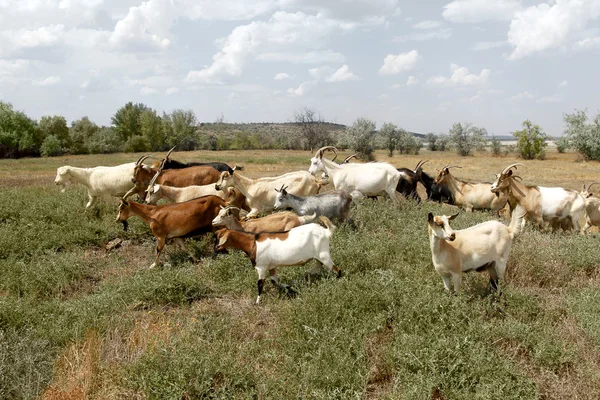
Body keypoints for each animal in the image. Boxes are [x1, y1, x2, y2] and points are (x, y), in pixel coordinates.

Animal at [214, 217, 342, 304]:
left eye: (219, 238)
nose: (215, 249)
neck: (252, 243)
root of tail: (325, 231)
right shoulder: (272, 267)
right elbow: (274, 281)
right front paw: (288, 287)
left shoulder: (262, 267)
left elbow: (260, 283)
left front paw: (257, 301)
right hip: (318, 256)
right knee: (318, 266)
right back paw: (309, 274)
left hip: (324, 254)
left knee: (336, 268)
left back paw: (337, 280)